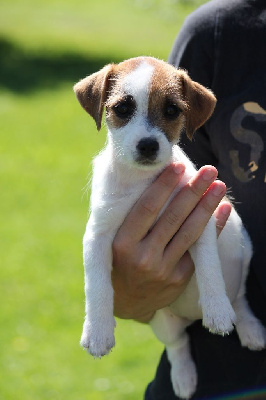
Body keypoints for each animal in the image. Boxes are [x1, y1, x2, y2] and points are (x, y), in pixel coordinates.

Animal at [73, 57, 266, 400]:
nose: (148, 145)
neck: (142, 182)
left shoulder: (199, 221)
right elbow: (96, 285)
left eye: (173, 110)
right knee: (179, 345)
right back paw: (184, 378)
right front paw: (97, 331)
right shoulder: (97, 236)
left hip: (243, 250)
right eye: (123, 108)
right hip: (164, 323)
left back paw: (246, 326)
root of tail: (190, 317)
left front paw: (216, 309)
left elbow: (209, 269)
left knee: (240, 298)